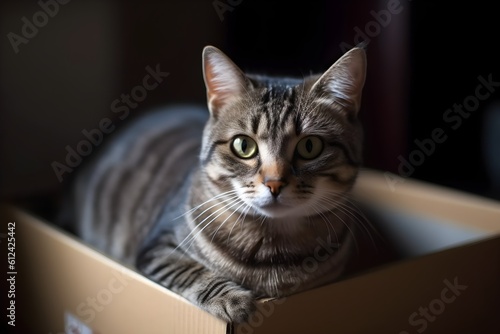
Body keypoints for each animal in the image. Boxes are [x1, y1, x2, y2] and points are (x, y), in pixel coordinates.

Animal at [66, 45, 370, 322]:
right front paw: (232, 300)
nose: (274, 183)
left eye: (310, 146)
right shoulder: (157, 247)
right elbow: (190, 270)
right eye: (243, 145)